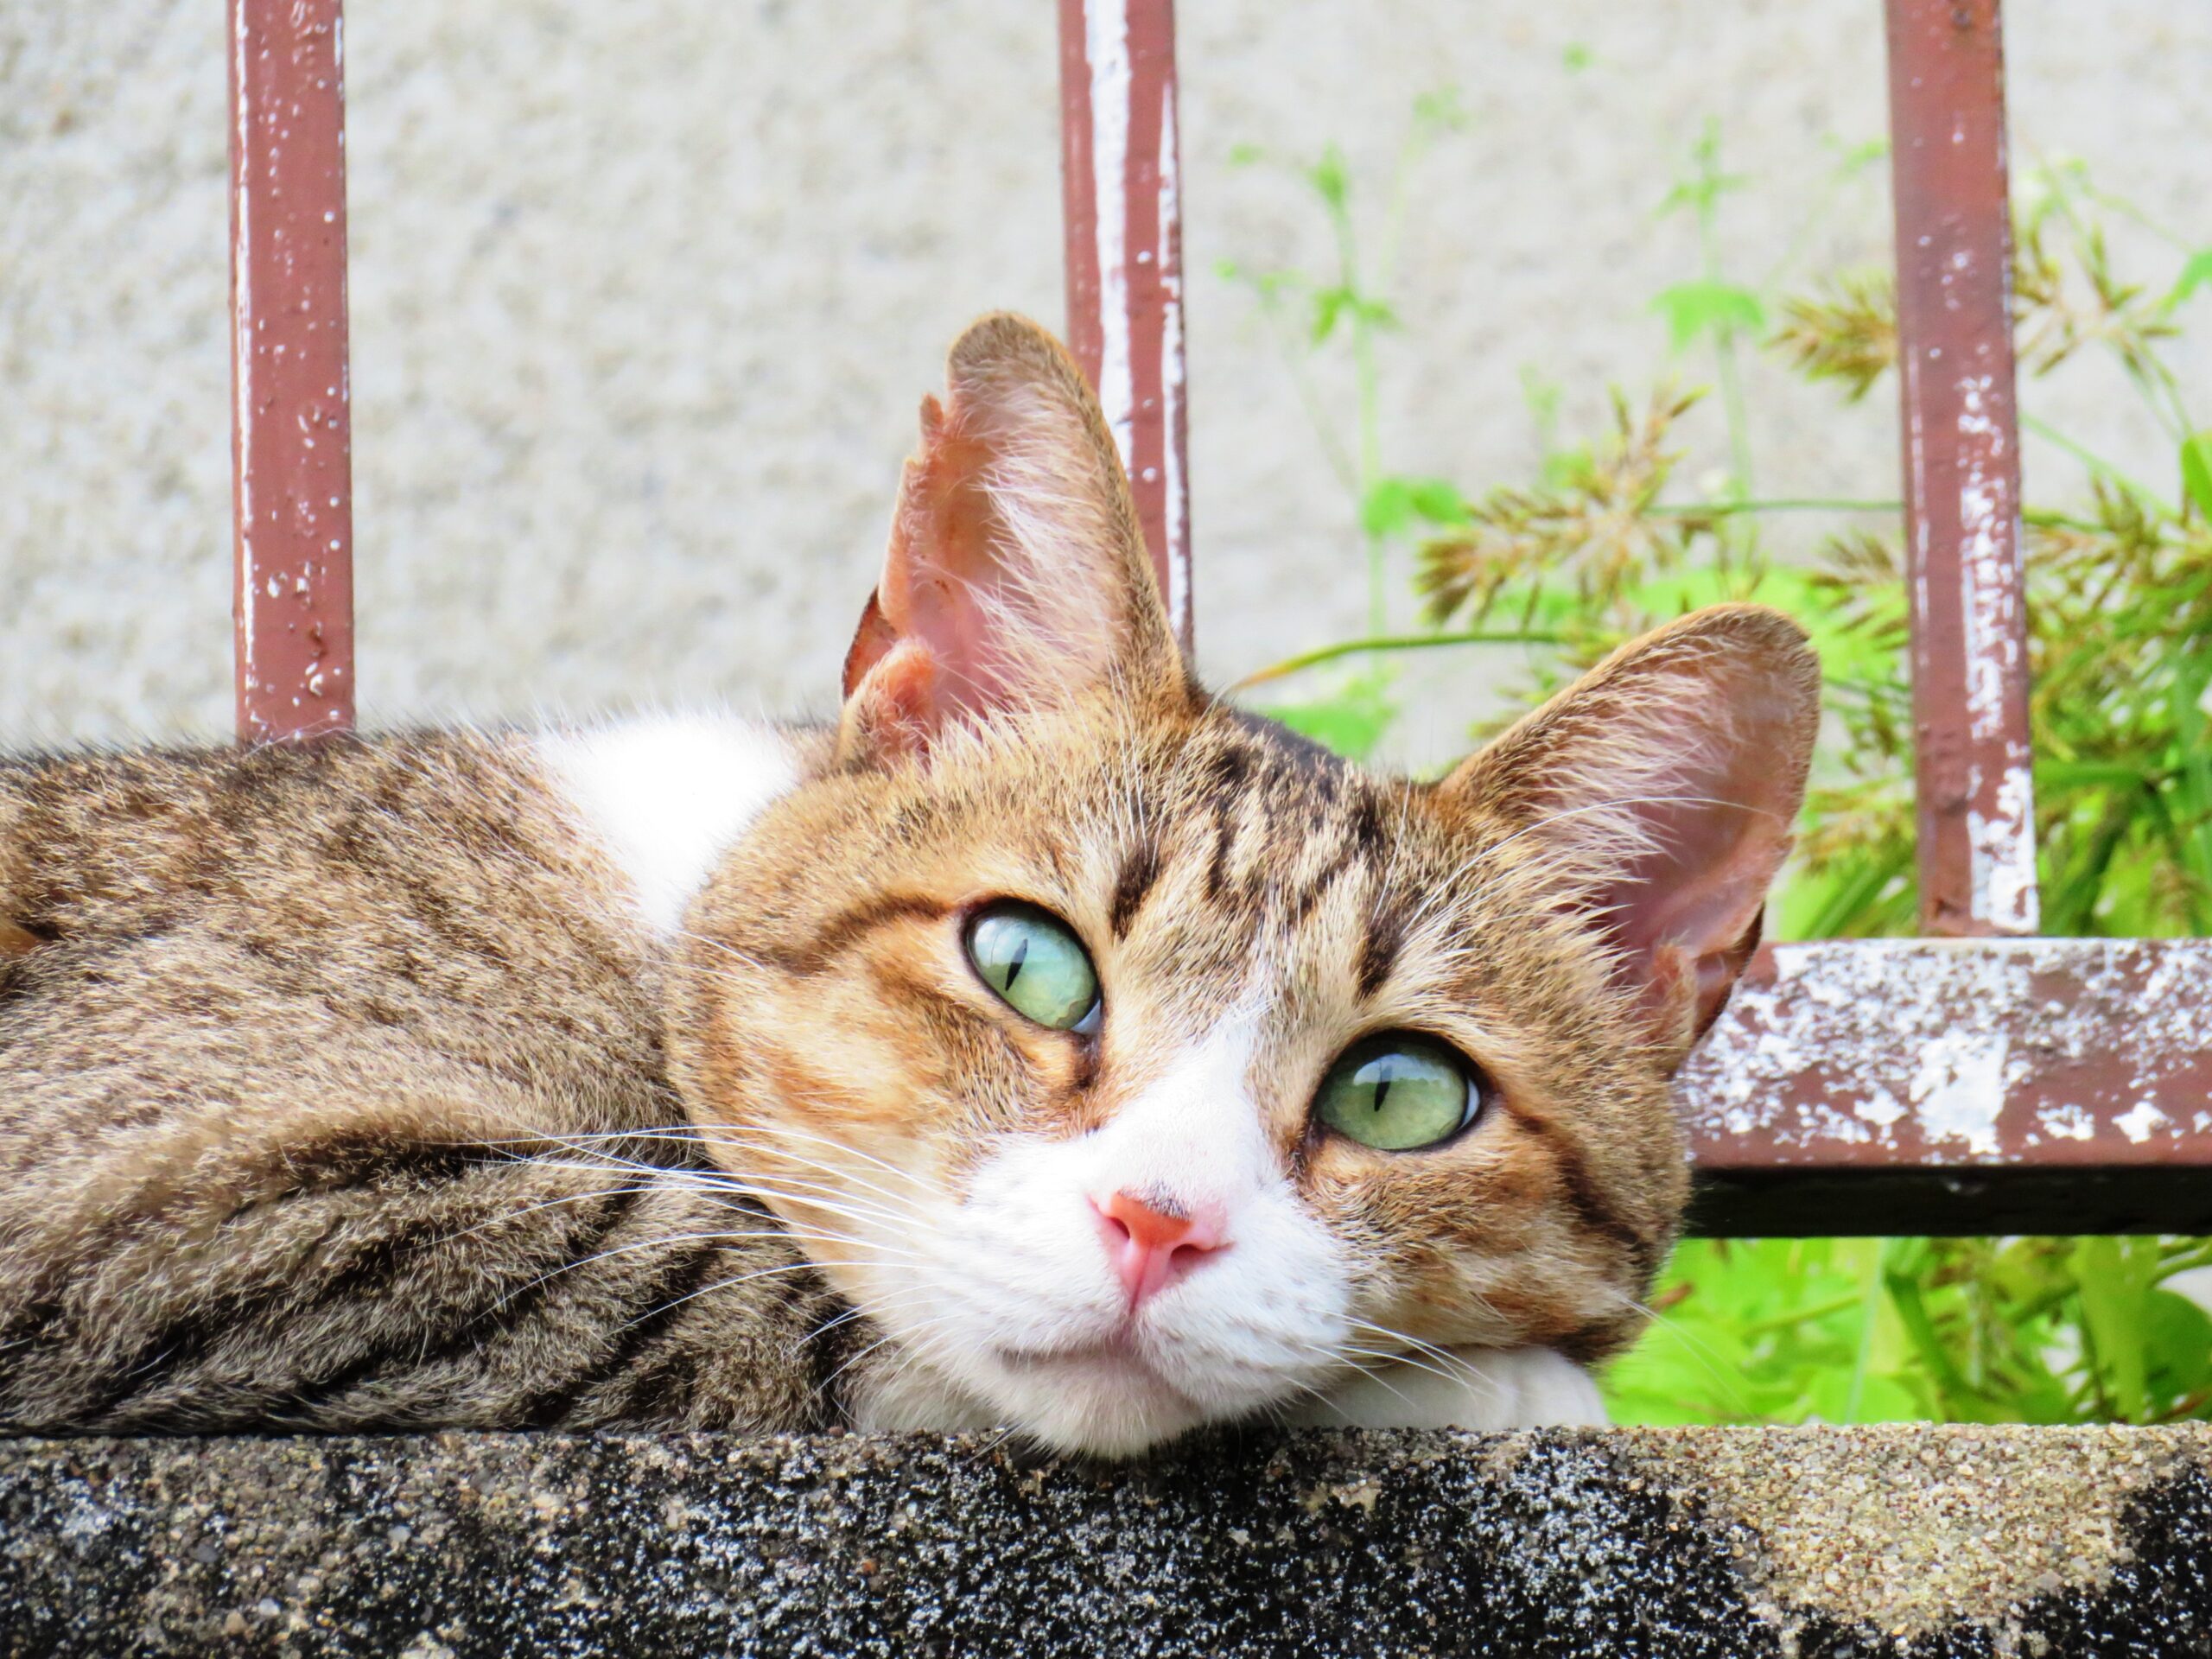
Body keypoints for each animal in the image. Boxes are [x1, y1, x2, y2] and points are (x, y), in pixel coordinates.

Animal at [0, 314, 1814, 1451]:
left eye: (1398, 1092)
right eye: (1027, 966)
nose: (1159, 1224)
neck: (669, 899)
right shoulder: (143, 1169)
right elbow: (746, 1275)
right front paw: (1496, 1391)